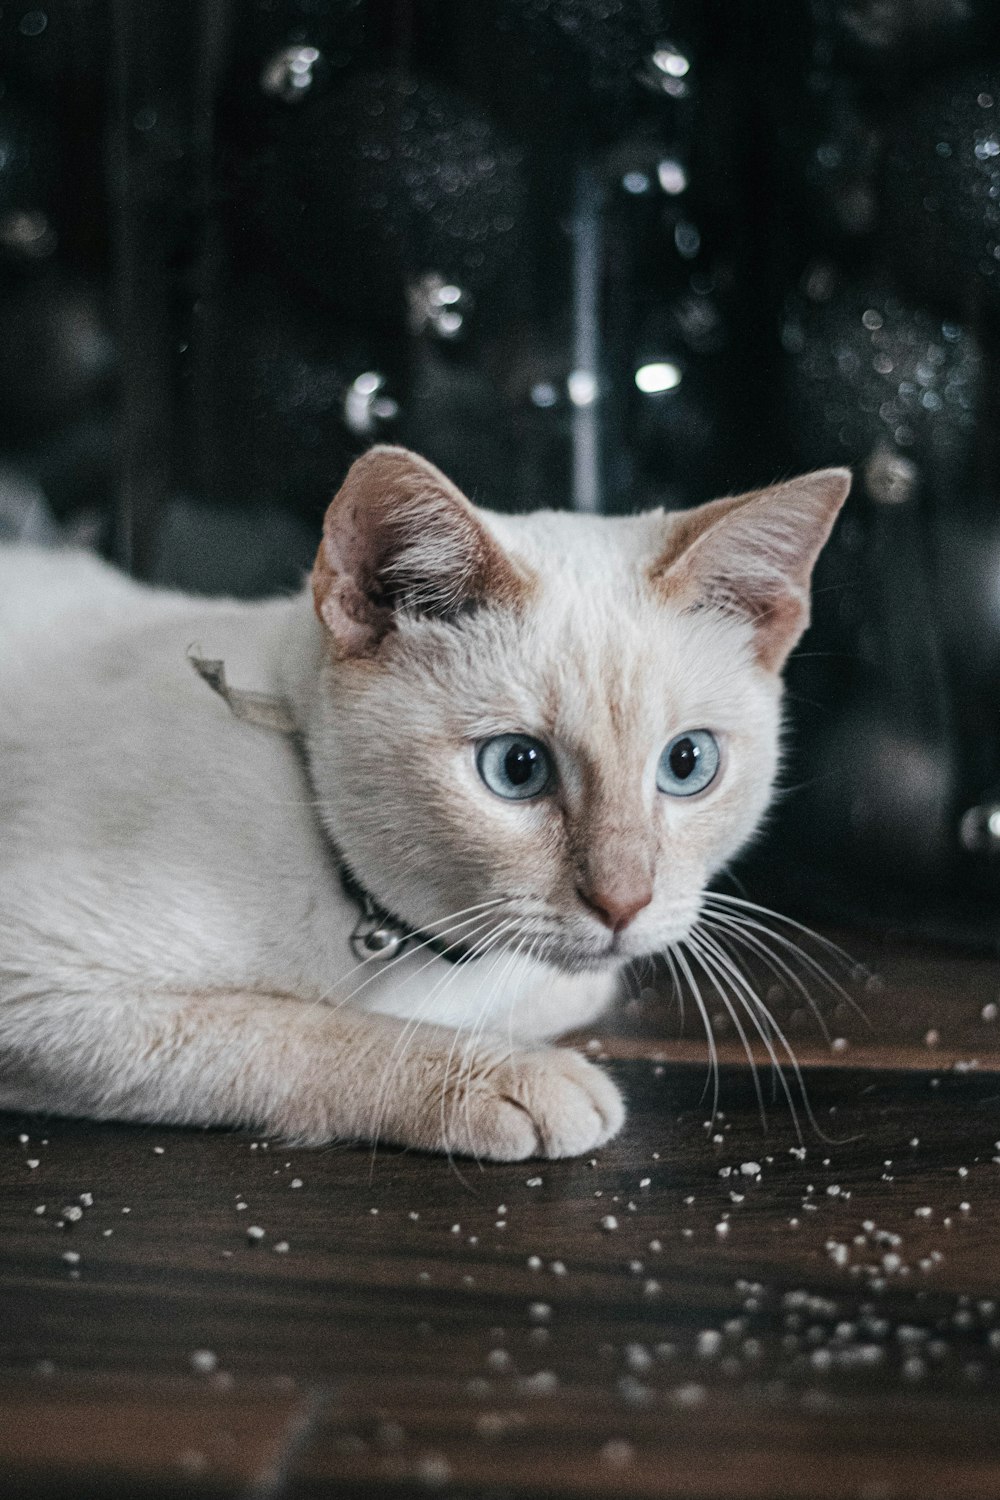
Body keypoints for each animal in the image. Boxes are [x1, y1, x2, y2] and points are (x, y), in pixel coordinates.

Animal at [0, 444, 851, 1158]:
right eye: (517, 768)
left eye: (687, 764)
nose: (623, 902)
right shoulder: (36, 980)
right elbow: (304, 1026)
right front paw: (514, 1077)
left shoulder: (562, 979)